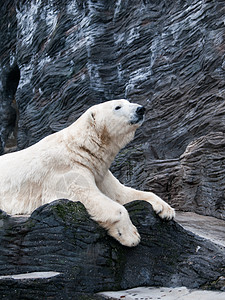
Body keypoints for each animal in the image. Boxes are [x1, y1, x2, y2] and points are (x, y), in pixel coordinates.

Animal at [0, 100, 174, 246]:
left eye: (128, 101)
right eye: (117, 107)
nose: (140, 109)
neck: (79, 148)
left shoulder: (98, 171)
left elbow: (120, 193)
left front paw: (166, 210)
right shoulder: (65, 168)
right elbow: (83, 194)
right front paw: (130, 235)